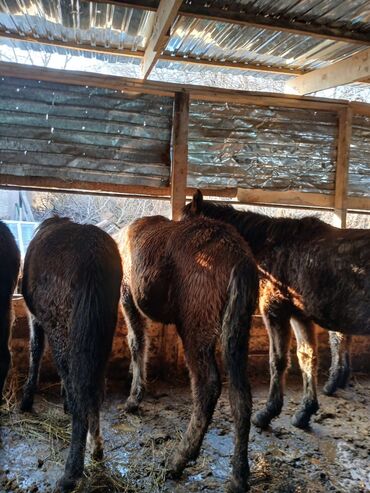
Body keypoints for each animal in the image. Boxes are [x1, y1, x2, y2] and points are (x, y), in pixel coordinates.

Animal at [21, 217, 122, 490]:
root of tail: (92, 256)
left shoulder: (36, 317)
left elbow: (35, 351)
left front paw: (27, 400)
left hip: (63, 329)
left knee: (79, 392)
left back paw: (71, 472)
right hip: (100, 336)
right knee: (94, 389)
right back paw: (96, 449)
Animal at [117, 215, 258, 492]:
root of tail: (240, 263)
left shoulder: (127, 293)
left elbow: (136, 341)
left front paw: (134, 398)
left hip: (196, 321)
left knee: (207, 386)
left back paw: (178, 459)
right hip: (239, 325)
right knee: (241, 394)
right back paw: (239, 475)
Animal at [183, 190, 370, 428]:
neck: (270, 244)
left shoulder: (275, 310)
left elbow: (277, 360)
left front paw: (267, 413)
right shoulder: (300, 315)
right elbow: (307, 356)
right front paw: (304, 412)